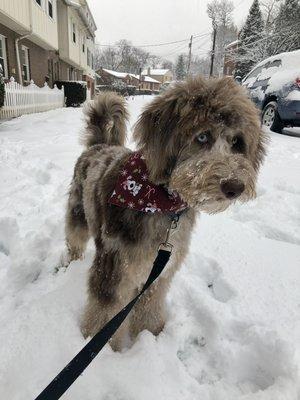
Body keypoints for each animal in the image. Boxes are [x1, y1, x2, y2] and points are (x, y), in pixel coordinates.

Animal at [65, 76, 268, 350]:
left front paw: (151, 335)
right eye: (202, 136)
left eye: (237, 142)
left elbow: (150, 307)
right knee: (74, 239)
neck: (160, 201)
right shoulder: (113, 267)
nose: (234, 187)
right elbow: (104, 315)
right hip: (78, 212)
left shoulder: (159, 274)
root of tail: (100, 145)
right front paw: (103, 350)